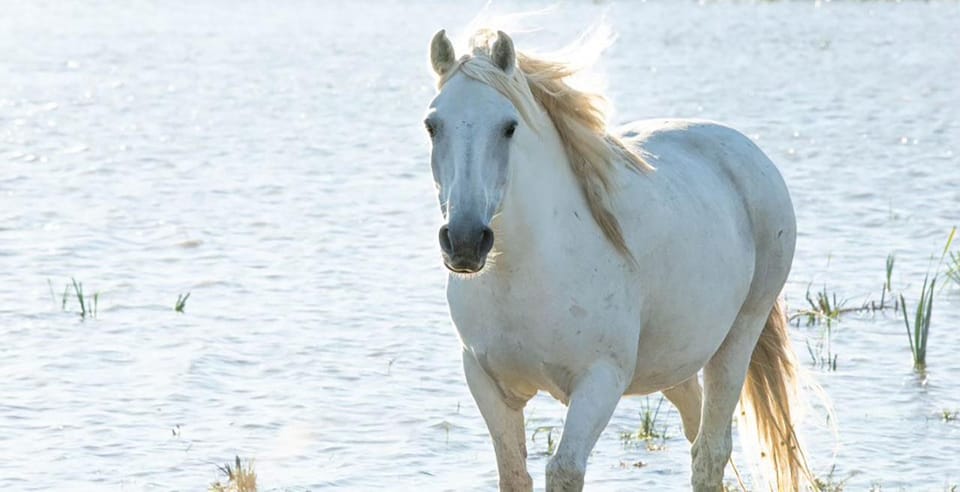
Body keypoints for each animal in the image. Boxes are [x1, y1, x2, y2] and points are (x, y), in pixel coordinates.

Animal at [424, 27, 812, 492]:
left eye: (509, 127)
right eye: (432, 126)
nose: (465, 242)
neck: (525, 272)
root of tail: (747, 152)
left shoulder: (600, 380)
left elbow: (565, 470)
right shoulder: (487, 382)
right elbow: (513, 474)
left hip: (738, 338)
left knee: (711, 452)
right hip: (675, 359)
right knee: (696, 430)